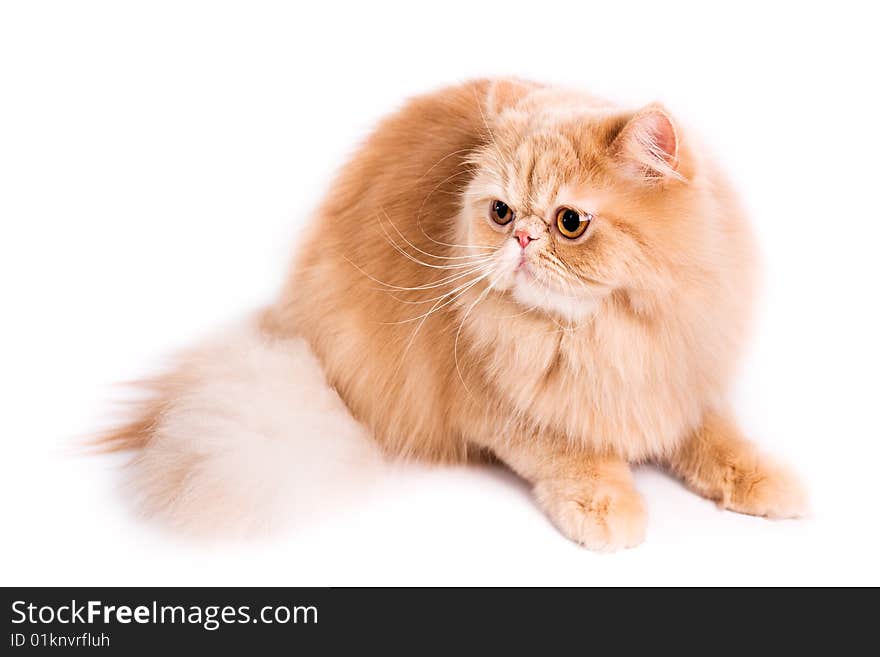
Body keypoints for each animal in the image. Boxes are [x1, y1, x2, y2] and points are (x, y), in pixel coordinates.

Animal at [99, 77, 808, 548]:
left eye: (570, 223)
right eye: (501, 212)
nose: (521, 238)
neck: (601, 336)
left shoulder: (680, 381)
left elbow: (722, 440)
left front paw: (769, 483)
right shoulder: (496, 412)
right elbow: (572, 453)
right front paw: (610, 508)